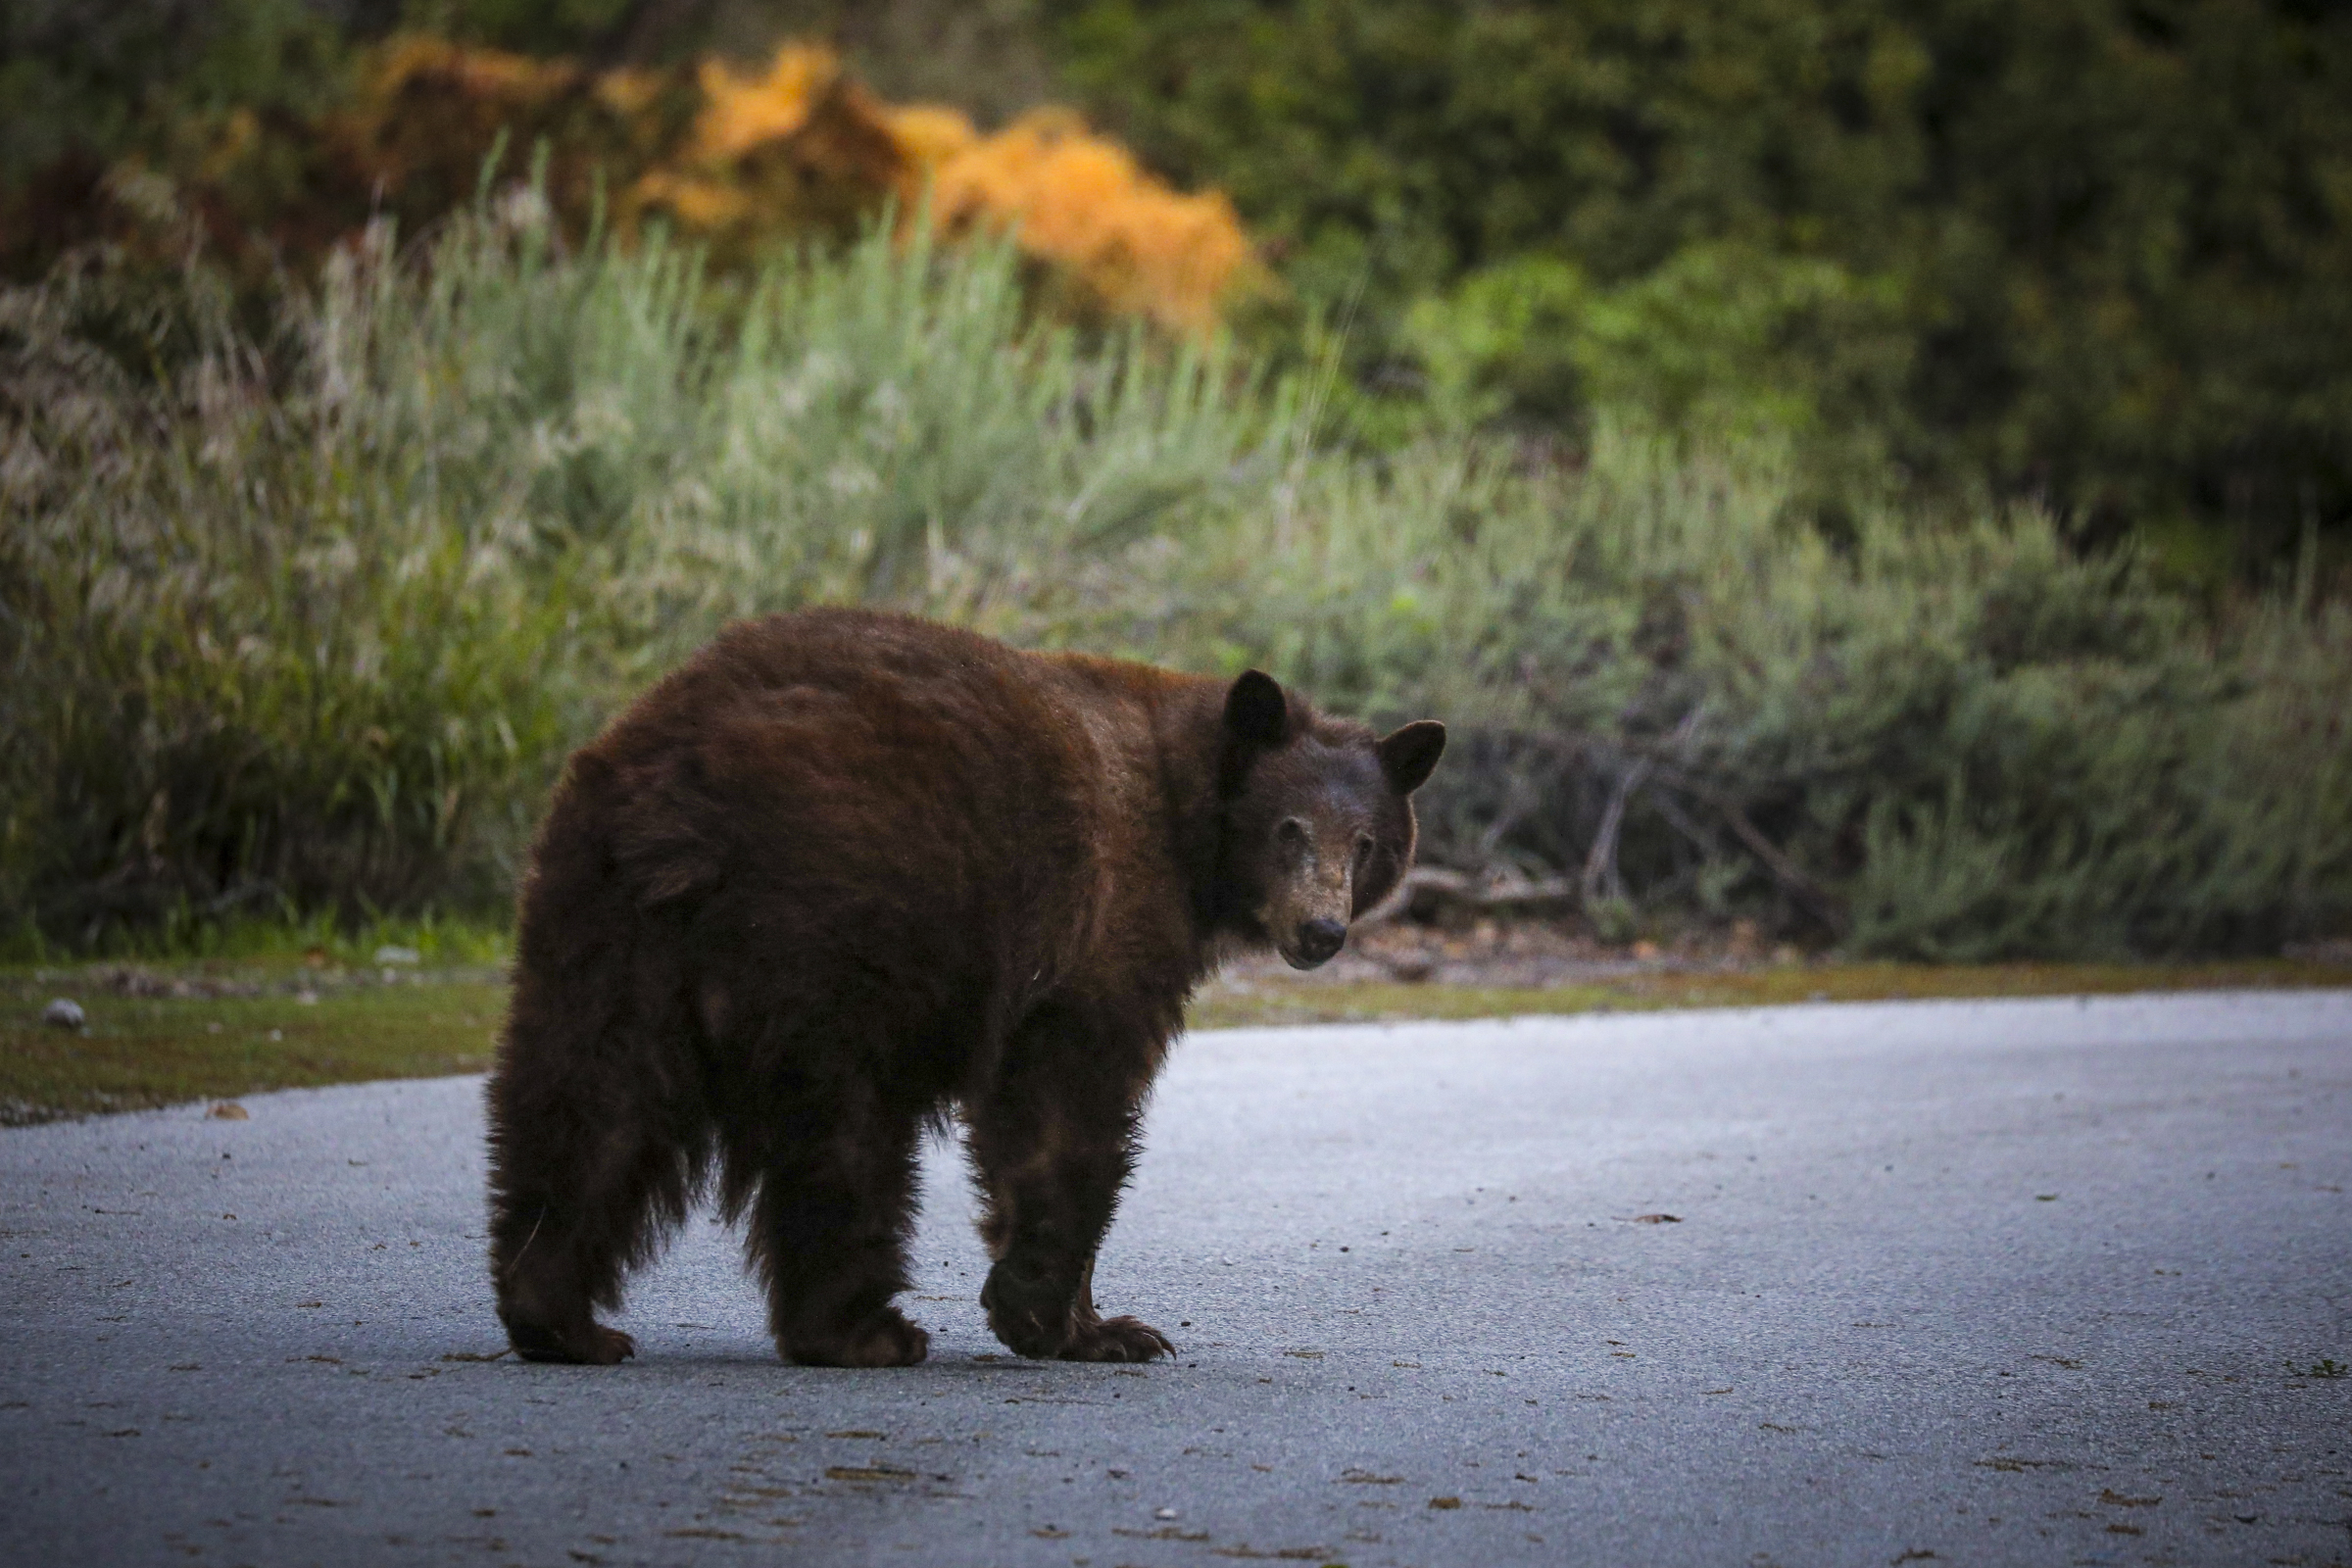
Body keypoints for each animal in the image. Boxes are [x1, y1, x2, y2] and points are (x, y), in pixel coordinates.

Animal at [484, 608, 1444, 1368]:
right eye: (1290, 829)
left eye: (1366, 841)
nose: (1321, 931)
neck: (1186, 818)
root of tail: (682, 798)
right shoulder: (1102, 920)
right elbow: (1070, 1106)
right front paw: (1064, 1317)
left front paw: (1092, 1323)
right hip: (835, 921)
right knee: (844, 1133)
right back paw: (861, 1331)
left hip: (601, 917)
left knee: (589, 1099)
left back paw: (557, 1317)